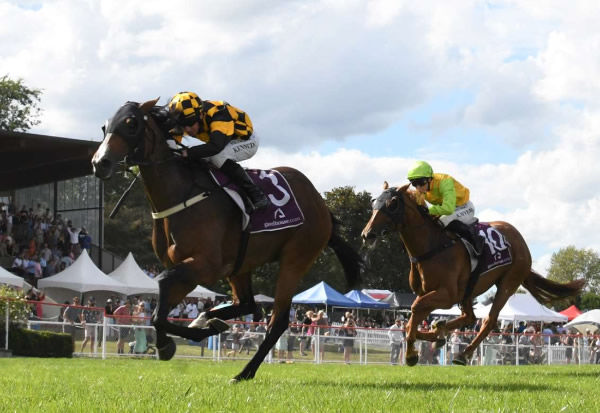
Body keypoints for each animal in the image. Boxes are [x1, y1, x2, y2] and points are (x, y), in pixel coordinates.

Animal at [90, 99, 360, 380]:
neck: (182, 195)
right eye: (105, 126)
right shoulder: (186, 269)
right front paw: (178, 338)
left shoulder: (206, 266)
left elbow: (161, 294)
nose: (100, 162)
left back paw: (244, 371)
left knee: (277, 320)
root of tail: (321, 204)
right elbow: (160, 309)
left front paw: (177, 340)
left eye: (131, 123)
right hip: (240, 266)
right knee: (249, 305)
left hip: (295, 260)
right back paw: (210, 320)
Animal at [358, 183, 584, 364]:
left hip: (508, 282)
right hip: (470, 289)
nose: (367, 233)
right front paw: (432, 336)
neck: (431, 247)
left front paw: (412, 353)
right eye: (374, 202)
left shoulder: (447, 295)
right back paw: (440, 330)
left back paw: (463, 354)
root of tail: (520, 239)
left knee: (488, 321)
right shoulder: (426, 293)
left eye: (392, 204)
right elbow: (413, 317)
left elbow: (414, 310)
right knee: (469, 316)